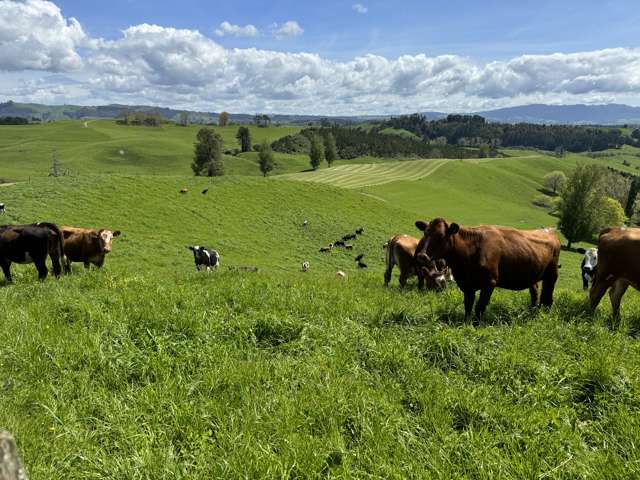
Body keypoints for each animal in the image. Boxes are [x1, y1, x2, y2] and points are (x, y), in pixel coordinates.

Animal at [416, 218, 560, 322]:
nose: (422, 255)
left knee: (548, 297)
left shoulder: (490, 282)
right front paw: (466, 323)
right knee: (535, 292)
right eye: (425, 233)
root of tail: (549, 232)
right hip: (533, 275)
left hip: (552, 274)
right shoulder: (467, 284)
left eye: (441, 235)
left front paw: (476, 325)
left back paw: (543, 315)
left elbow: (480, 306)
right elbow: (468, 305)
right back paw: (532, 311)